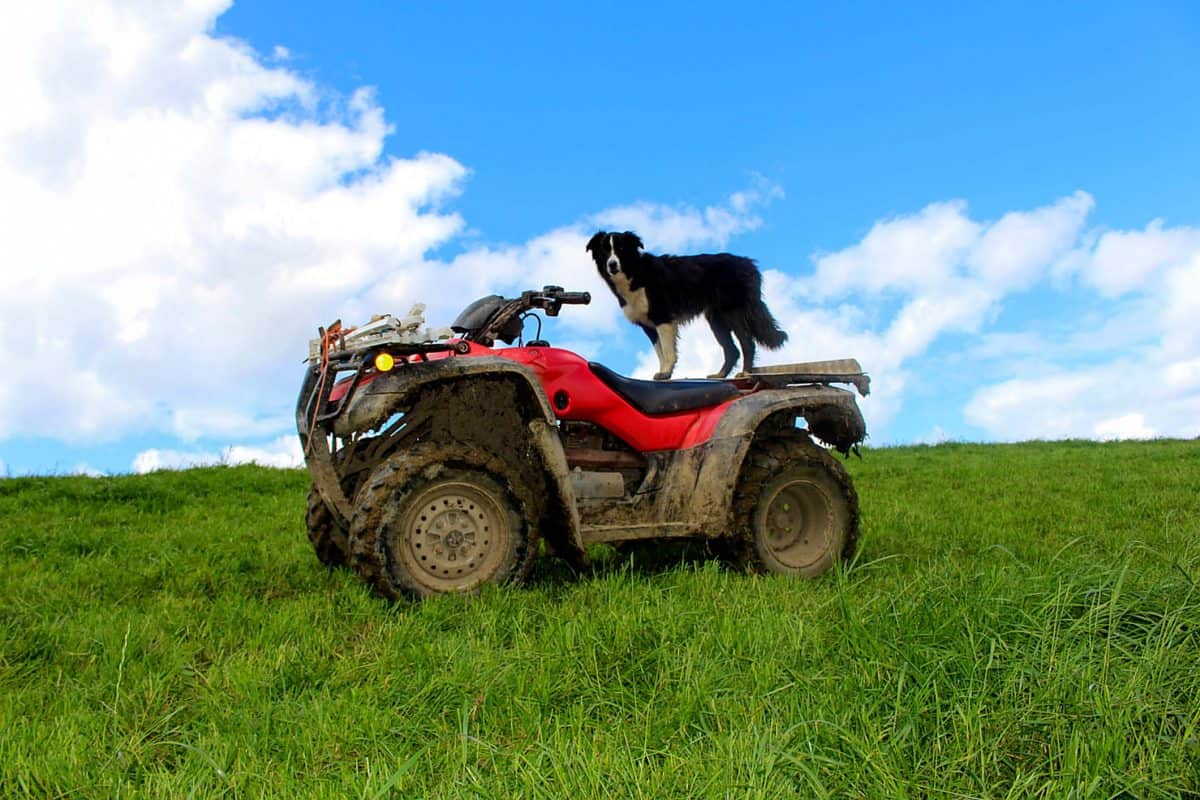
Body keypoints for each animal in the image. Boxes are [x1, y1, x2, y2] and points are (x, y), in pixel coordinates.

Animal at [588, 231, 792, 381]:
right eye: (604, 251)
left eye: (621, 249)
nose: (612, 265)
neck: (635, 272)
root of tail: (749, 264)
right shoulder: (648, 325)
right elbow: (659, 351)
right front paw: (663, 372)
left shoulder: (662, 317)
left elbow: (667, 350)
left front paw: (666, 372)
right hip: (716, 319)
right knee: (732, 350)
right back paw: (720, 375)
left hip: (733, 312)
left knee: (747, 343)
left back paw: (746, 374)